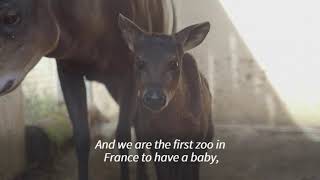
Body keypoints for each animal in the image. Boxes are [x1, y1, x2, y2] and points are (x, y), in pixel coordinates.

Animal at [119, 14, 214, 180]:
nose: (154, 97)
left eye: (174, 63)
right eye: (139, 62)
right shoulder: (153, 140)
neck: (171, 127)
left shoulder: (195, 139)